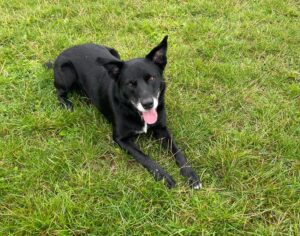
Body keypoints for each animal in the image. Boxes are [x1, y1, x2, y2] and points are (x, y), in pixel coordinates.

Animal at [51, 36, 202, 189]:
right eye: (130, 83)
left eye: (151, 78)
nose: (148, 104)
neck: (136, 112)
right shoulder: (120, 139)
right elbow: (145, 157)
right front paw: (164, 177)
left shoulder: (162, 129)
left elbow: (177, 151)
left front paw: (191, 175)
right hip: (66, 74)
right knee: (59, 93)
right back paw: (67, 104)